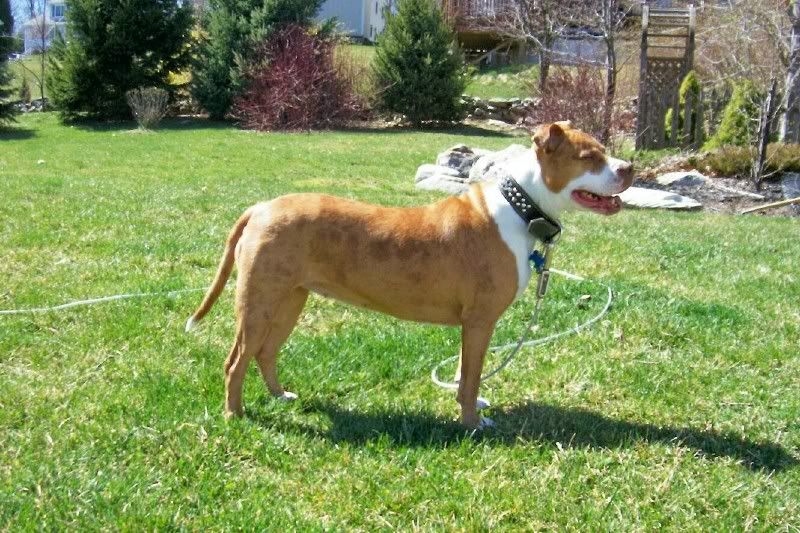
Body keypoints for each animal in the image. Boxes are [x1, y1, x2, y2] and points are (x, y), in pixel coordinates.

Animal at [185, 122, 633, 429]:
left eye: (606, 151)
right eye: (589, 157)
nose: (629, 167)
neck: (520, 204)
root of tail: (261, 207)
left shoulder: (473, 325)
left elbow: (464, 371)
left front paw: (468, 405)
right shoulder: (481, 319)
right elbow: (472, 377)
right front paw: (472, 423)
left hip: (289, 300)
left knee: (266, 352)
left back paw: (280, 396)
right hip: (258, 303)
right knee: (236, 360)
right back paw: (235, 415)